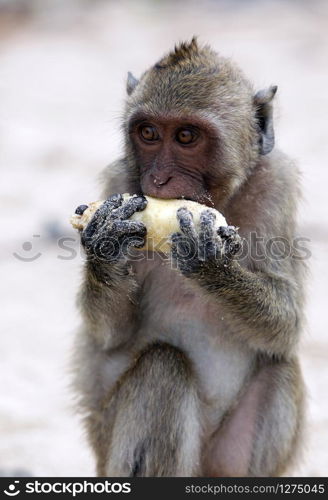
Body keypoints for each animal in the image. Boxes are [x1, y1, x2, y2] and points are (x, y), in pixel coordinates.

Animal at [73, 39, 306, 476]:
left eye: (185, 136)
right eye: (148, 133)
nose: (159, 179)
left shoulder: (276, 184)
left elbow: (287, 324)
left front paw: (208, 261)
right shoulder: (118, 185)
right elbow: (108, 336)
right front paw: (106, 243)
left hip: (223, 458)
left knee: (280, 364)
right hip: (108, 449)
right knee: (162, 367)